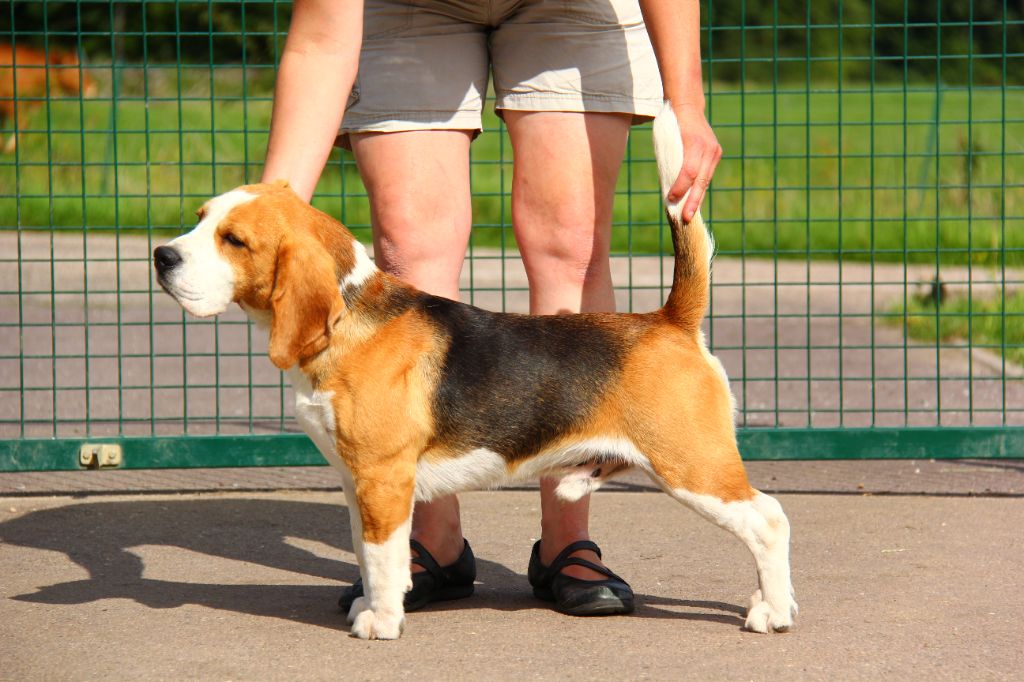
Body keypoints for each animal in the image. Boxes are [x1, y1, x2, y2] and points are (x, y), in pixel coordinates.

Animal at [153, 102, 798, 638]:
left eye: (234, 240)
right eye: (200, 218)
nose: (161, 256)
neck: (350, 316)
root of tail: (670, 319)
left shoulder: (383, 477)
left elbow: (382, 558)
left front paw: (380, 621)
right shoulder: (355, 480)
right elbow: (370, 553)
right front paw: (376, 603)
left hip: (693, 465)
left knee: (769, 519)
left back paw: (772, 611)